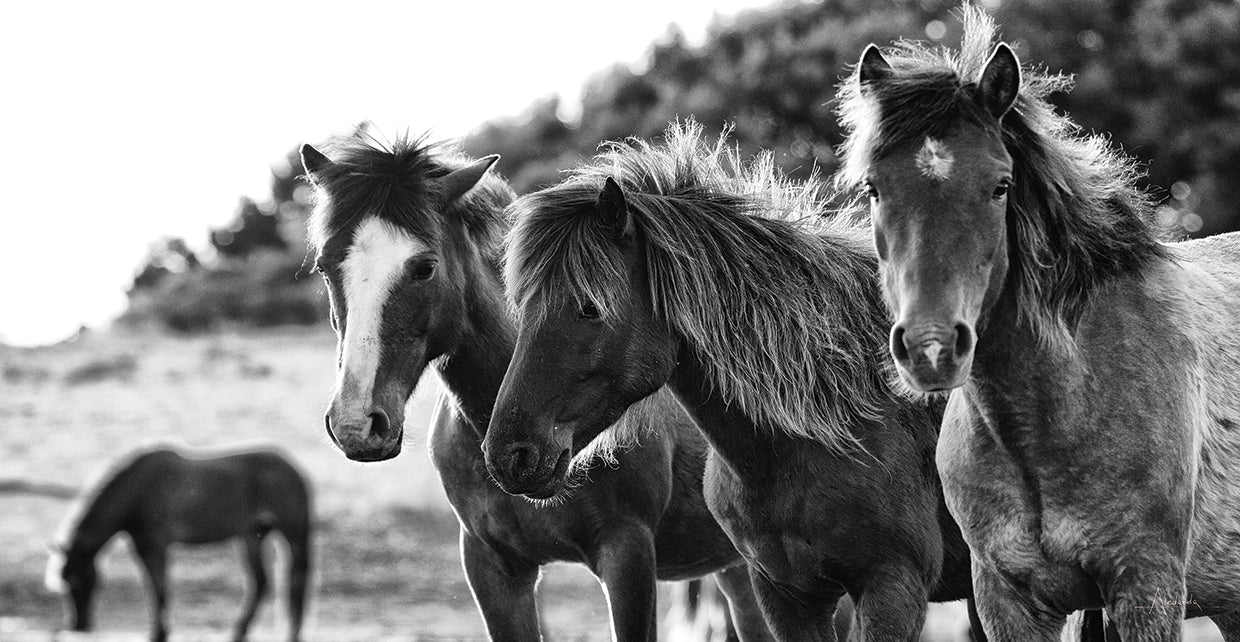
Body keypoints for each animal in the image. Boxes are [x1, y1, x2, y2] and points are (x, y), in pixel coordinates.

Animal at [44, 445, 312, 642]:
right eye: (64, 583)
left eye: (79, 581)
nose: (78, 626)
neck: (138, 489)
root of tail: (294, 469)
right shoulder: (142, 546)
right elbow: (155, 588)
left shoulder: (154, 546)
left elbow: (159, 588)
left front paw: (159, 634)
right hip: (252, 537)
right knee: (261, 583)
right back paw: (239, 633)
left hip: (292, 536)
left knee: (296, 580)